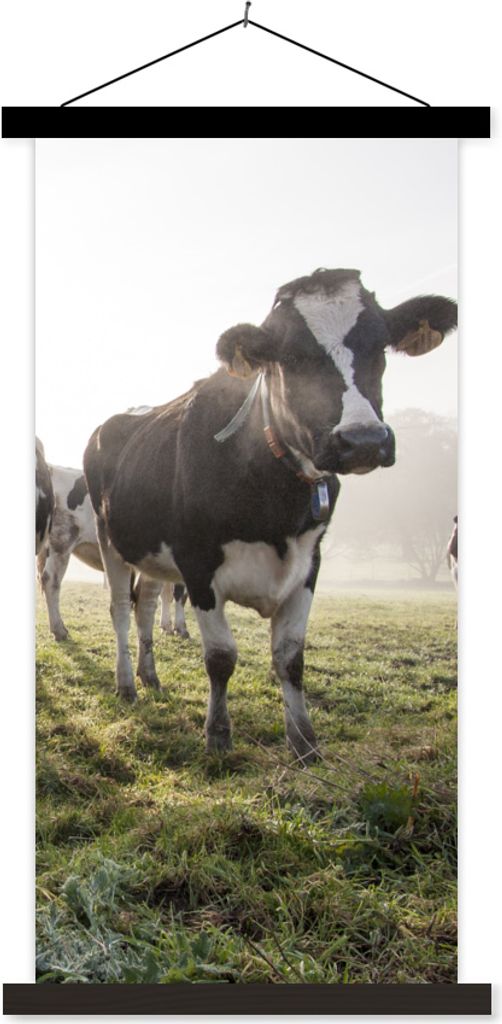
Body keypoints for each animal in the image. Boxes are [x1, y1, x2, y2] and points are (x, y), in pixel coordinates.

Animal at [37, 465, 189, 643]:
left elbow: (166, 594)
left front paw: (166, 626)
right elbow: (179, 595)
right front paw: (181, 628)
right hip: (62, 541)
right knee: (50, 580)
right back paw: (59, 630)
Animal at [84, 267, 457, 762]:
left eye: (378, 346)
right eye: (292, 356)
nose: (362, 440)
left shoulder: (309, 563)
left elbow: (290, 657)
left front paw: (304, 742)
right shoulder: (198, 564)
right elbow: (221, 657)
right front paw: (218, 735)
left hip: (153, 554)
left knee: (145, 606)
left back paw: (150, 677)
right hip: (112, 539)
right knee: (122, 610)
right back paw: (126, 684)